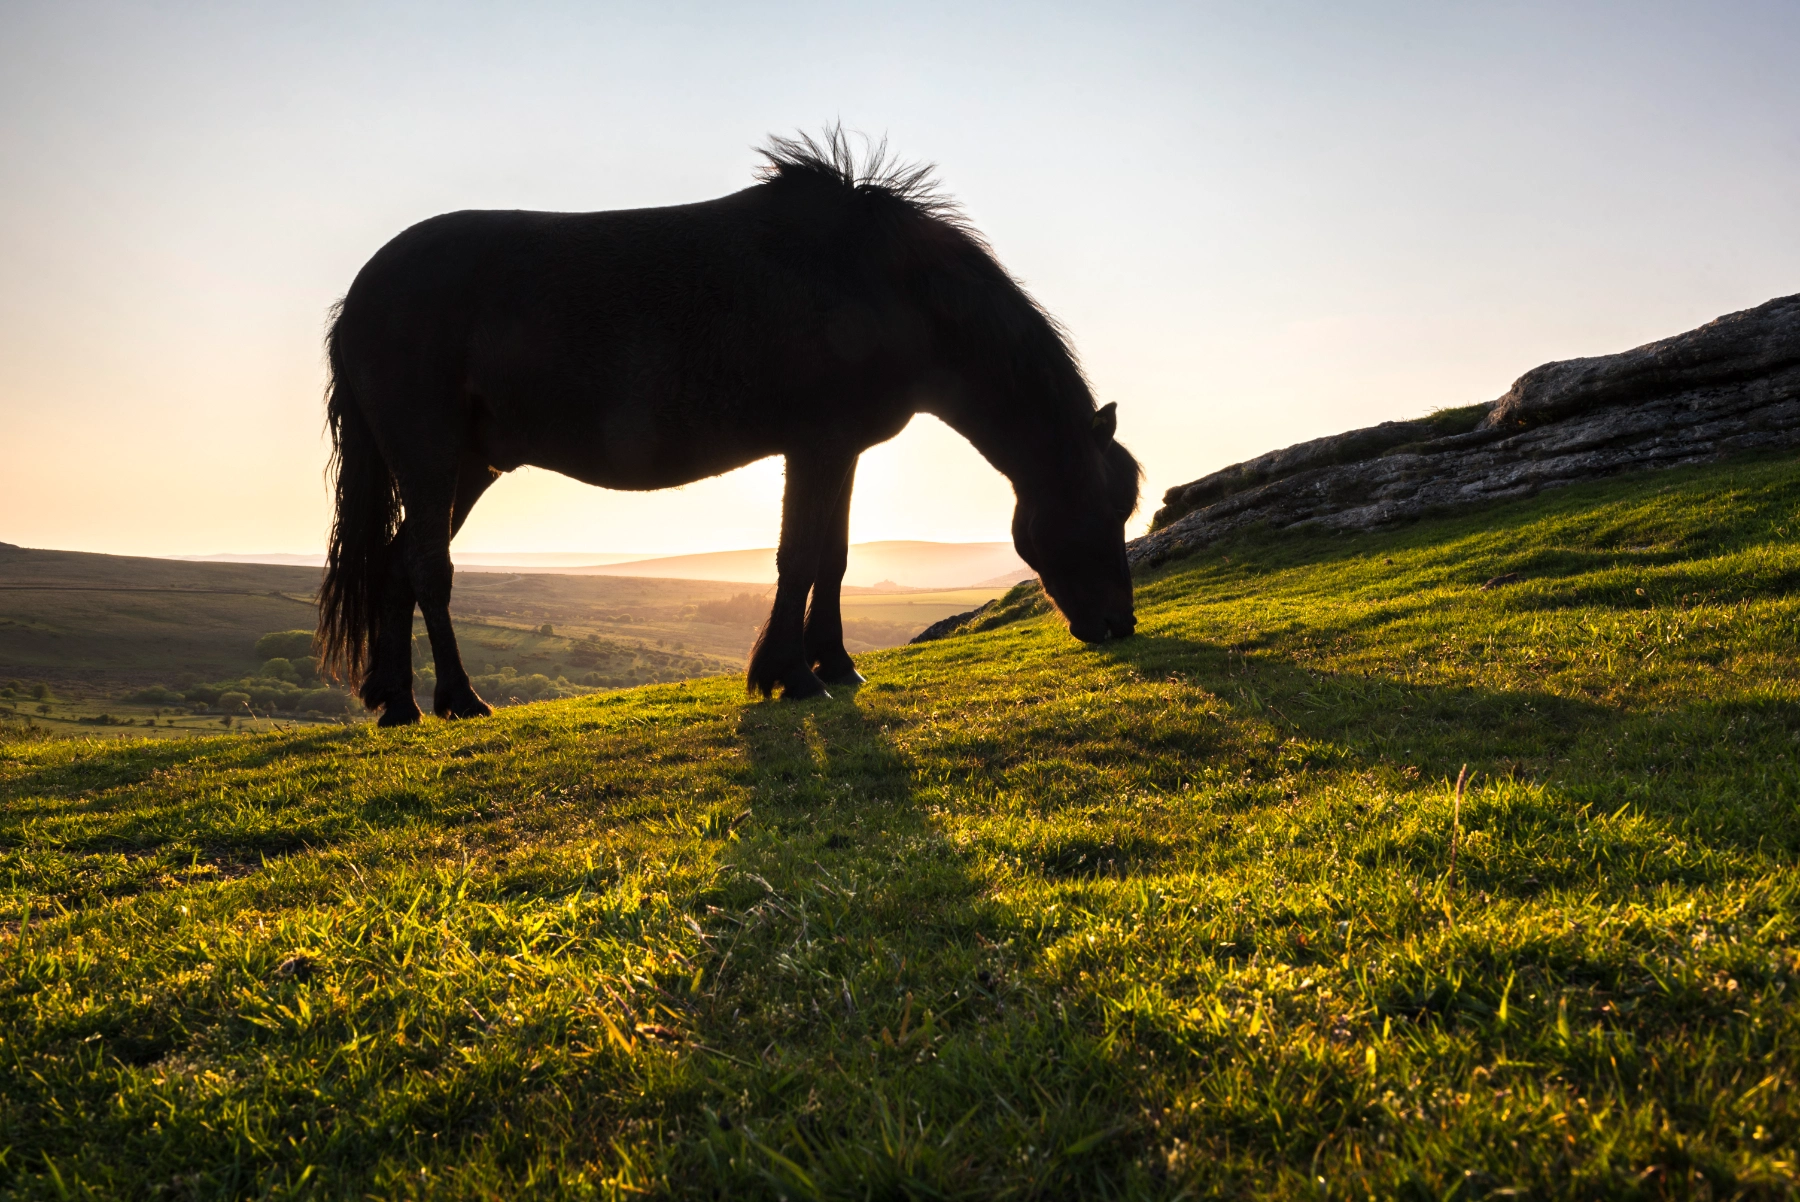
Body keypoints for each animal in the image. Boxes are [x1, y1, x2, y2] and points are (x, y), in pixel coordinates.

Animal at [318, 130, 1137, 723]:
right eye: (1102, 508)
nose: (1119, 624)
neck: (881, 283)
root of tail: (360, 294)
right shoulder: (815, 447)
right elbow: (798, 558)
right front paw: (790, 675)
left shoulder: (841, 452)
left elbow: (834, 558)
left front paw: (834, 663)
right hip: (429, 454)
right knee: (429, 567)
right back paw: (459, 698)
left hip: (469, 465)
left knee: (395, 564)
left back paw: (396, 702)